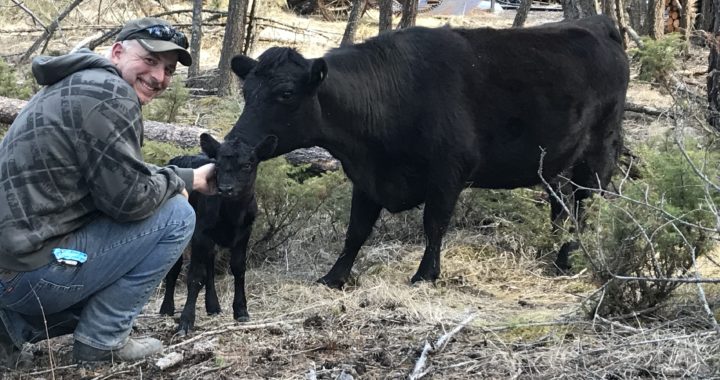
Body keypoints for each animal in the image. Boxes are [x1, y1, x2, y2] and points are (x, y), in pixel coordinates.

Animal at [159, 132, 278, 334]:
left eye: (247, 165)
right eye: (218, 165)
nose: (225, 189)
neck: (232, 216)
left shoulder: (244, 233)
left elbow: (238, 268)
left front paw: (241, 310)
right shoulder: (201, 233)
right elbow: (196, 276)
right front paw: (186, 321)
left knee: (210, 263)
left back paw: (213, 306)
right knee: (176, 266)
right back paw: (167, 308)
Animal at [222, 14, 628, 288]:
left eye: (286, 93)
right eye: (247, 91)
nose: (235, 143)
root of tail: (598, 23)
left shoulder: (449, 171)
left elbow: (434, 224)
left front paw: (425, 275)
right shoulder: (367, 178)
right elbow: (356, 230)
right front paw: (334, 276)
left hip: (600, 149)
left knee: (588, 204)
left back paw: (571, 257)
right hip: (554, 160)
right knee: (561, 206)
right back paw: (554, 255)